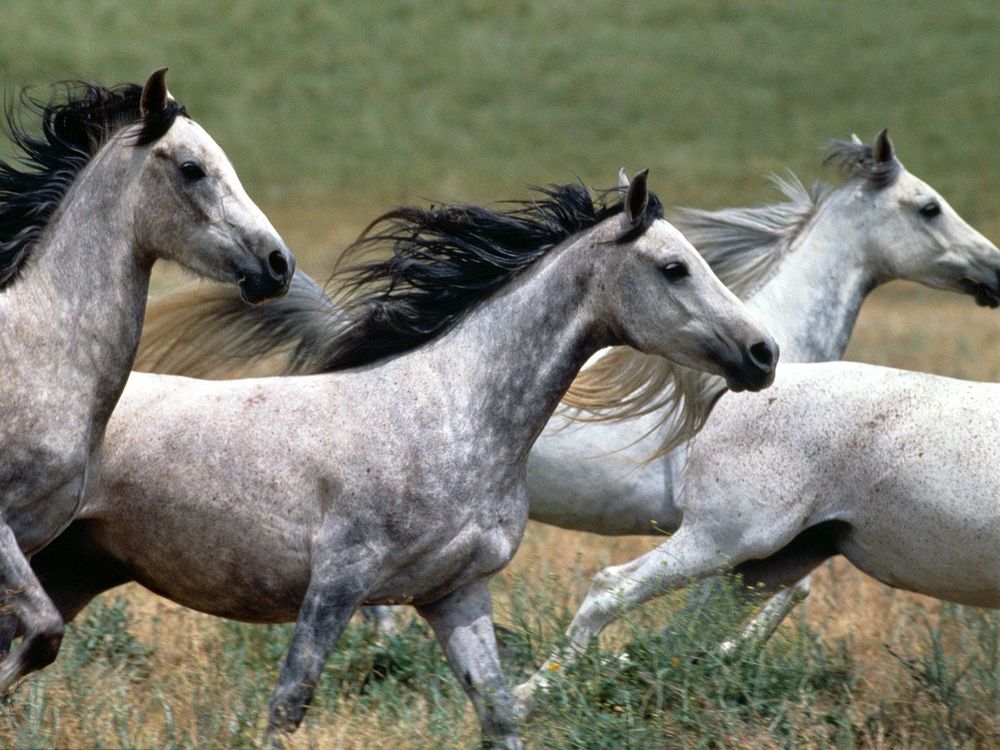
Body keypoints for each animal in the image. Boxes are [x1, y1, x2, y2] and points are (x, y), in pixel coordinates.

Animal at [14, 172, 777, 748]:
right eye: (675, 267)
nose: (763, 354)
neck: (447, 414)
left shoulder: (456, 595)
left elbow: (498, 713)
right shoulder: (337, 583)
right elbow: (288, 704)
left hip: (75, 570)